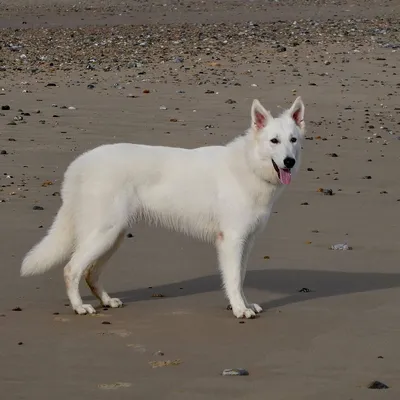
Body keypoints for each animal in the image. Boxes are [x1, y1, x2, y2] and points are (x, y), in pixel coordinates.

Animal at [20, 97, 304, 318]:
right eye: (274, 141)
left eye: (293, 140)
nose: (289, 162)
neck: (249, 165)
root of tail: (79, 164)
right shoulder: (231, 241)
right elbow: (233, 279)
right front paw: (238, 309)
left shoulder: (247, 242)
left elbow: (241, 278)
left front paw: (244, 304)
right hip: (104, 234)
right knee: (72, 269)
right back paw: (79, 307)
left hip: (113, 236)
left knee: (90, 273)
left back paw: (106, 301)